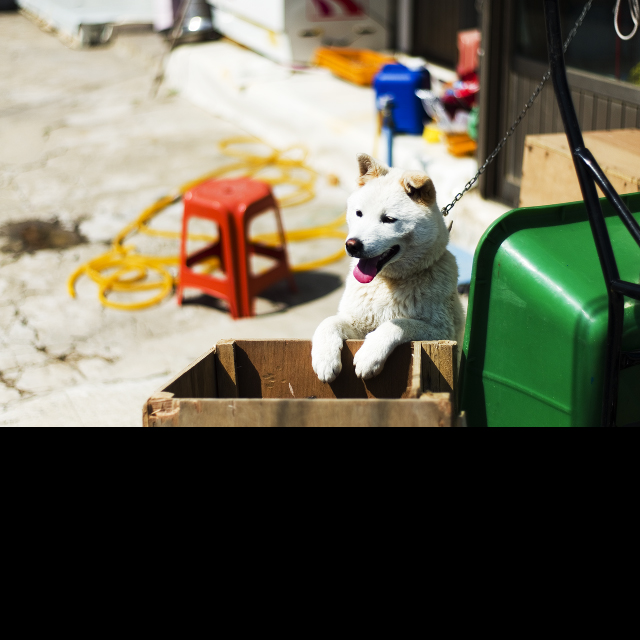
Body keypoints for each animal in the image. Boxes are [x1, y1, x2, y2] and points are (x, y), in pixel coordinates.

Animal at [311, 153, 465, 383]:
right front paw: (324, 359)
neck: (388, 282)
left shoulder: (442, 333)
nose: (352, 245)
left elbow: (398, 324)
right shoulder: (358, 322)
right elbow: (328, 322)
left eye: (389, 219)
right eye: (359, 213)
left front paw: (369, 356)